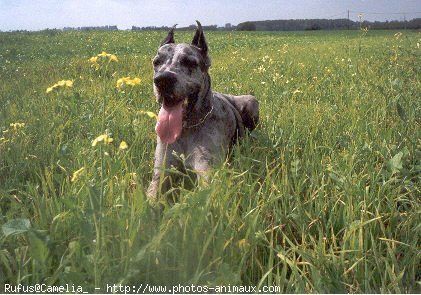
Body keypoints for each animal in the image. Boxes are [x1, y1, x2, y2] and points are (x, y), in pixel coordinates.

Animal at [148, 19, 260, 202]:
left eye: (189, 62)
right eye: (156, 62)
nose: (163, 80)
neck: (187, 129)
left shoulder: (207, 166)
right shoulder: (162, 168)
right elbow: (152, 194)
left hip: (251, 101)